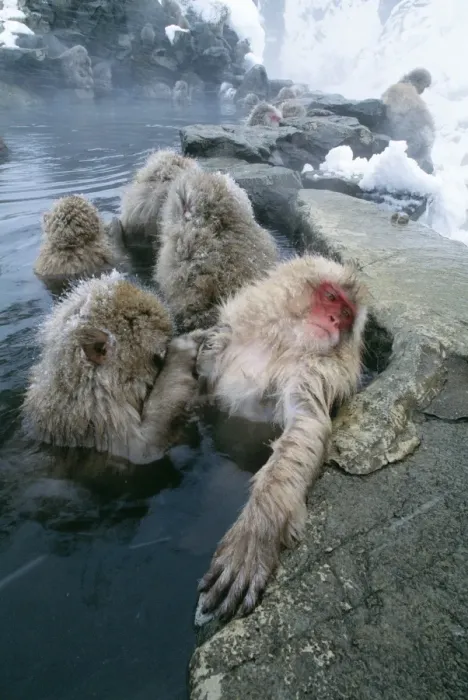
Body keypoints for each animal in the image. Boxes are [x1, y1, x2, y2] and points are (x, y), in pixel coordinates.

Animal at [194, 254, 368, 619]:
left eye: (347, 314)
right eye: (330, 297)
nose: (334, 320)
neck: (282, 344)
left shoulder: (315, 373)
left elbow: (306, 424)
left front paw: (255, 533)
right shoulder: (225, 339)